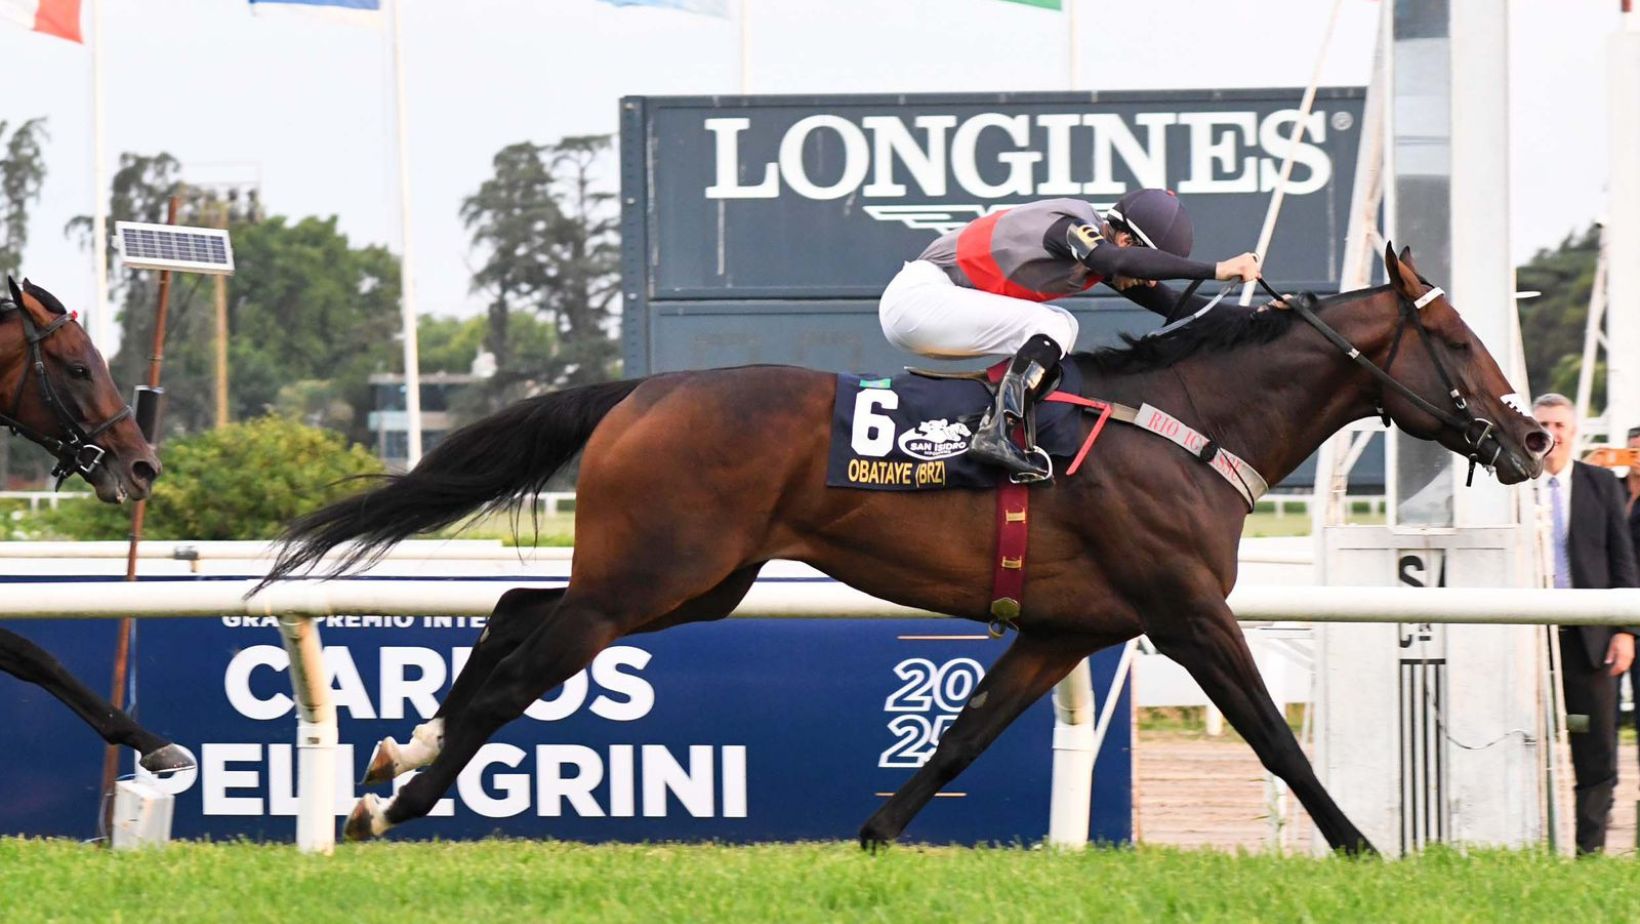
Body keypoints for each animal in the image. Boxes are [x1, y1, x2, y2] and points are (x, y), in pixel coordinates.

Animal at [0, 276, 192, 776]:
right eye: (78, 369)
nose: (145, 467)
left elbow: (35, 655)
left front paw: (150, 741)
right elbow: (31, 653)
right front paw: (151, 741)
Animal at [264, 246, 1549, 852]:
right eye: (1459, 342)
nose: (1534, 435)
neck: (1186, 422)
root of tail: (644, 389)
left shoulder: (1066, 626)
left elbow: (964, 733)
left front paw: (874, 834)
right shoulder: (1183, 611)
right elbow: (1274, 737)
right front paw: (1361, 848)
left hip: (691, 581)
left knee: (515, 613)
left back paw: (398, 756)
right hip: (650, 574)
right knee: (529, 660)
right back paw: (394, 801)